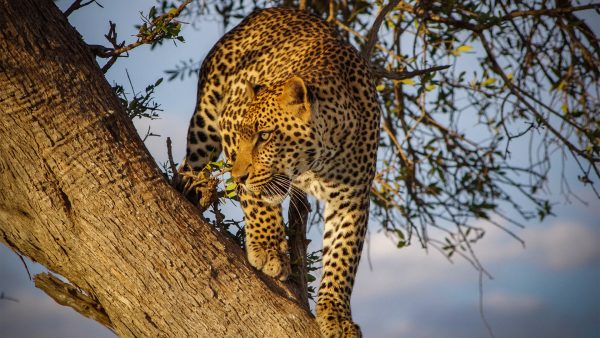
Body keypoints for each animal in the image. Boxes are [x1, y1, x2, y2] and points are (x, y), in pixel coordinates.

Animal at [184, 6, 380, 336]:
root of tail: (265, 11)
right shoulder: (229, 121)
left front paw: (336, 316)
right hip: (206, 121)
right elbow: (257, 200)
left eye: (264, 136)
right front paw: (268, 249)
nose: (237, 177)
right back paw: (190, 189)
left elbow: (342, 258)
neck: (318, 160)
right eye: (243, 135)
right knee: (190, 164)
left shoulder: (352, 199)